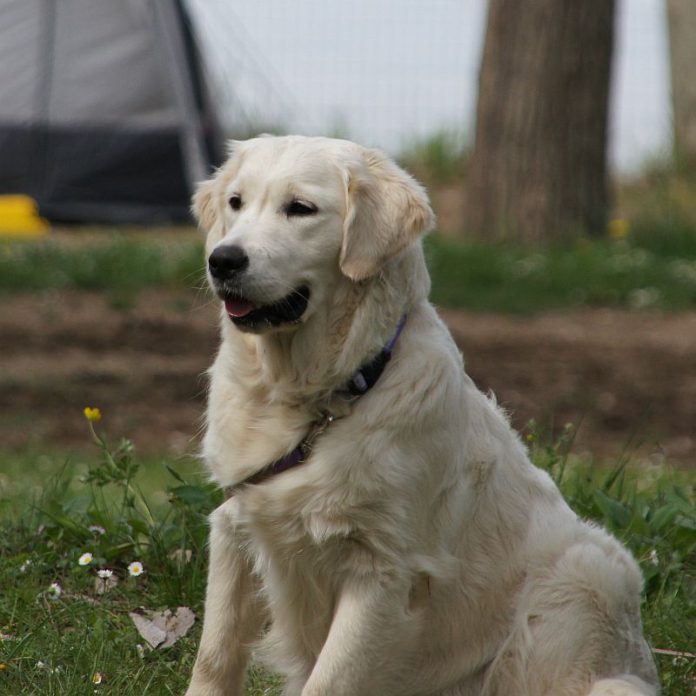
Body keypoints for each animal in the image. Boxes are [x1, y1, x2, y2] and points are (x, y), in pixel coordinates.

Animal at [184, 137, 656, 696]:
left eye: (300, 208)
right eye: (235, 202)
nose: (222, 259)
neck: (319, 397)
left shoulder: (383, 571)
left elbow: (328, 682)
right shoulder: (235, 524)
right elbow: (213, 659)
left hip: (590, 570)